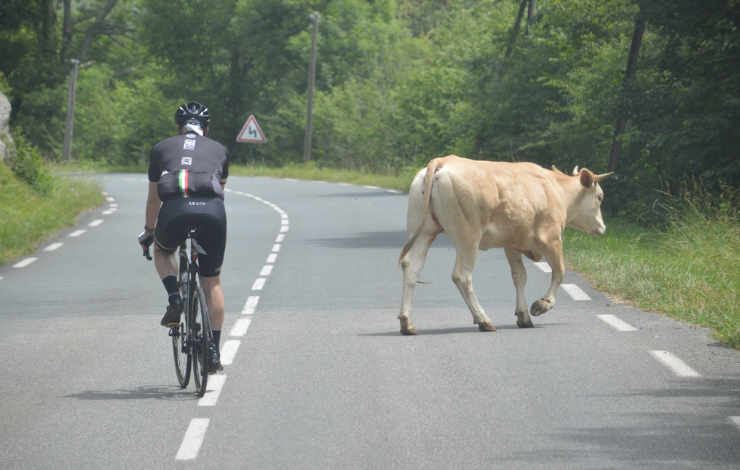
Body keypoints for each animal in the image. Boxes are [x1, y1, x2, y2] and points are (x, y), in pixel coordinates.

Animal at [398, 155, 612, 334]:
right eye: (600, 197)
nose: (603, 227)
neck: (555, 188)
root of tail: (443, 160)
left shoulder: (512, 243)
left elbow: (519, 276)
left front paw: (523, 316)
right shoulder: (551, 237)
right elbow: (559, 272)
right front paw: (542, 305)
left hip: (424, 230)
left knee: (412, 266)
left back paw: (407, 323)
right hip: (468, 237)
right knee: (462, 276)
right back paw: (484, 320)